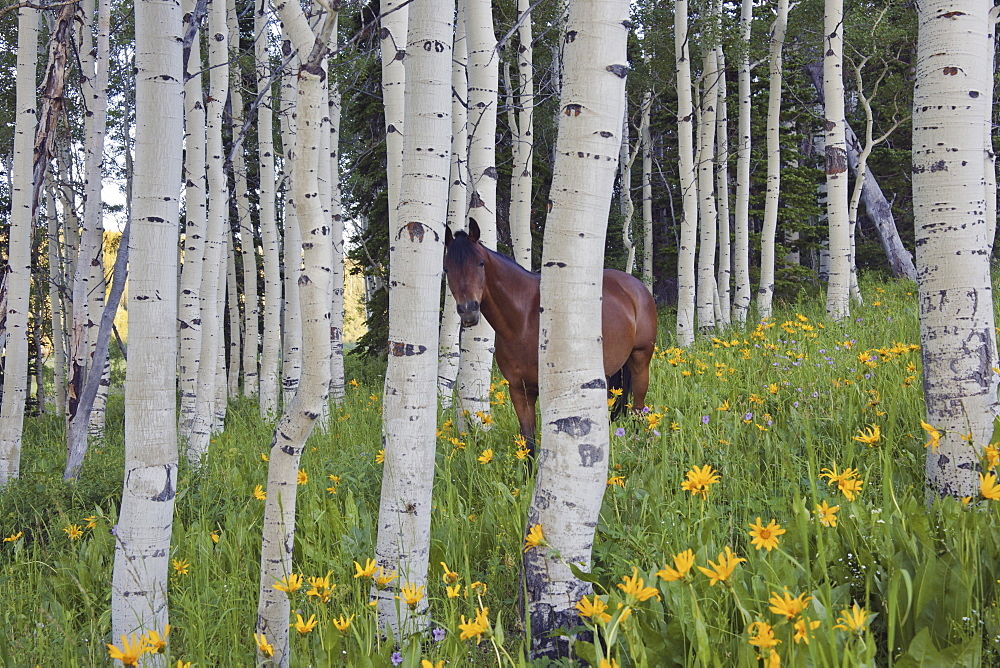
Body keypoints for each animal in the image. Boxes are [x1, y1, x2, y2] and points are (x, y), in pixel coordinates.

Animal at [444, 219, 660, 460]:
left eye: (481, 263)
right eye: (446, 268)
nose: (468, 311)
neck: (524, 321)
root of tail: (636, 287)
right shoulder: (519, 390)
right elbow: (528, 441)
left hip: (640, 360)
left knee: (639, 409)